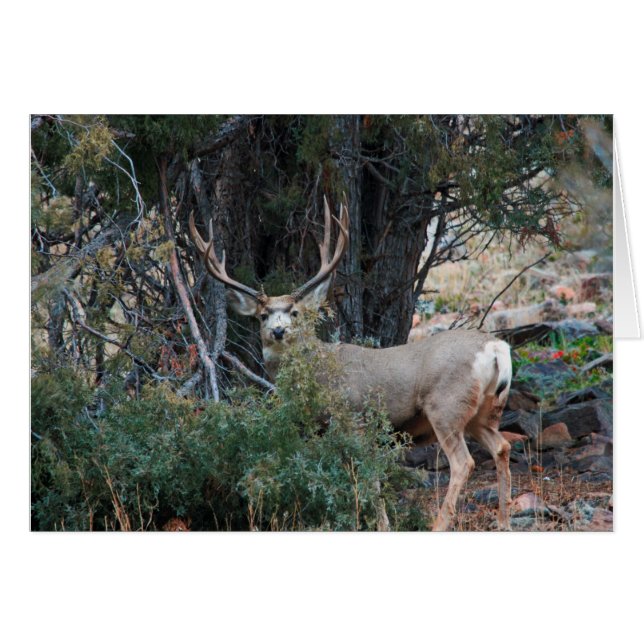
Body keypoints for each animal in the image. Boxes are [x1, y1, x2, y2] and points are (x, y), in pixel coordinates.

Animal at [189, 196, 513, 531]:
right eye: (263, 315)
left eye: (295, 312)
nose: (278, 331)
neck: (320, 373)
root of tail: (495, 347)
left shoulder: (356, 417)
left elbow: (368, 476)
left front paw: (381, 523)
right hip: (484, 410)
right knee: (502, 446)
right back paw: (503, 520)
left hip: (446, 405)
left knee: (464, 462)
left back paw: (440, 525)